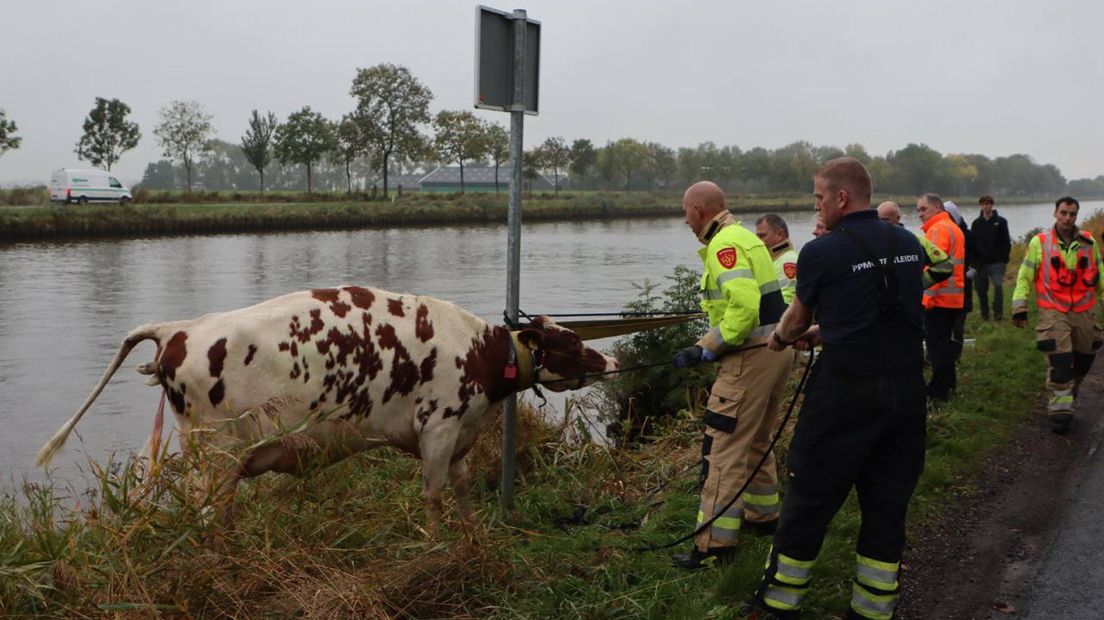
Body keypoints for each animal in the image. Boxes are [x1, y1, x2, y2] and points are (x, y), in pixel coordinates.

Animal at [36, 286, 622, 531]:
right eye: (572, 340)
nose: (613, 358)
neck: (481, 351)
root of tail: (180, 329)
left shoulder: (461, 437)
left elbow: (460, 495)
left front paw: (474, 538)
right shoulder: (437, 427)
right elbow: (433, 498)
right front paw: (438, 545)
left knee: (219, 513)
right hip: (214, 453)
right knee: (204, 515)